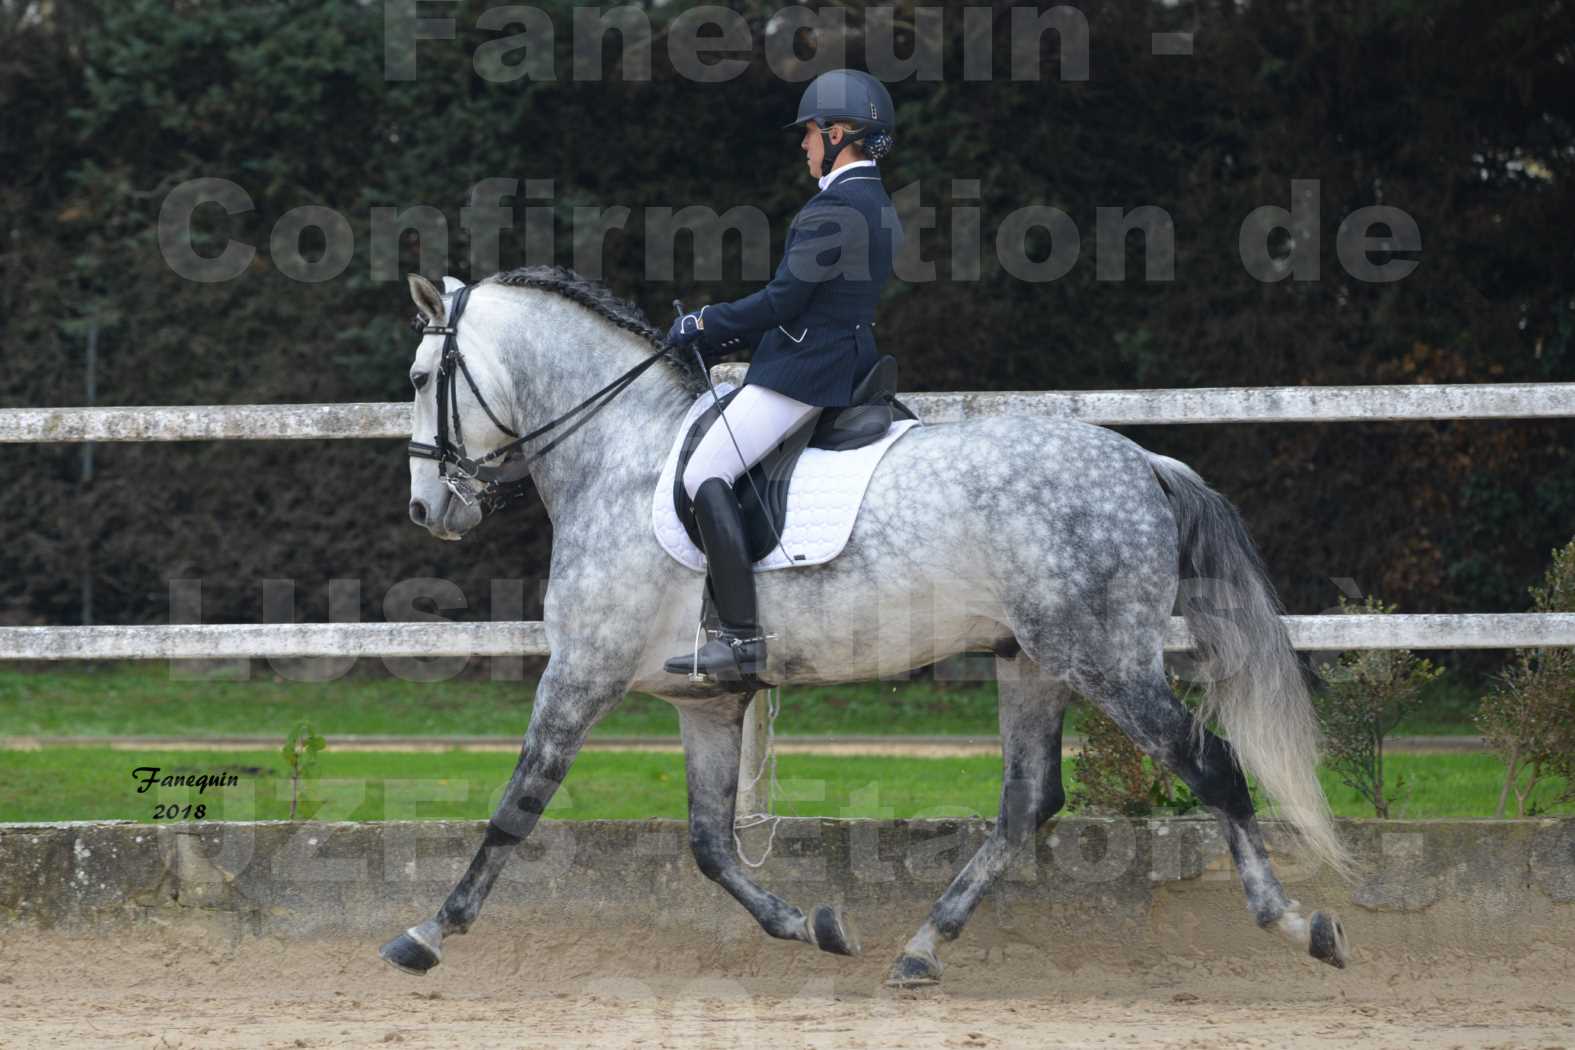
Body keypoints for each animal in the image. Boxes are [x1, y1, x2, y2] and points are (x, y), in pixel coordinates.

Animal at [381, 267, 1354, 988]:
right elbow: (709, 845)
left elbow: (518, 803)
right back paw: (923, 947)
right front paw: (811, 925)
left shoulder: (582, 669)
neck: (620, 453)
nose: (430, 509)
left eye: (423, 381)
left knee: (1209, 765)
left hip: (1105, 661)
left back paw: (1297, 925)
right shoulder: (703, 702)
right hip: (1031, 661)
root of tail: (1143, 459)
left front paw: (429, 931)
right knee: (1026, 802)